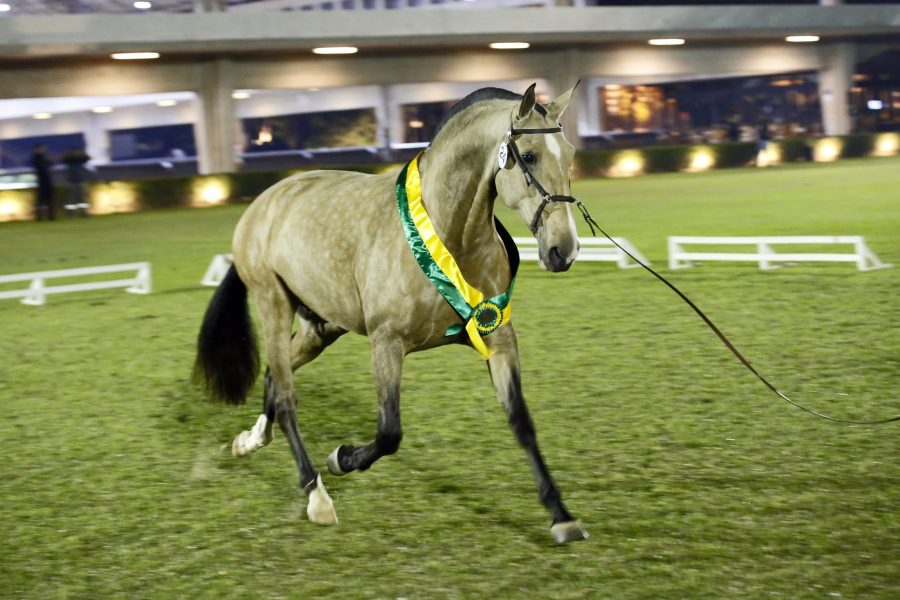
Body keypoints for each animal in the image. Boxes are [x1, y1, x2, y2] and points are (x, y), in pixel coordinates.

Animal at [194, 82, 588, 543]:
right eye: (528, 155)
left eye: (570, 153)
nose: (563, 250)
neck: (448, 232)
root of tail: (265, 201)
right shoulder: (387, 343)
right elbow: (389, 432)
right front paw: (341, 458)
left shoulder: (498, 337)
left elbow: (522, 421)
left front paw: (561, 516)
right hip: (272, 304)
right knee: (287, 395)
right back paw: (315, 494)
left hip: (321, 326)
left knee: (276, 376)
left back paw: (251, 440)